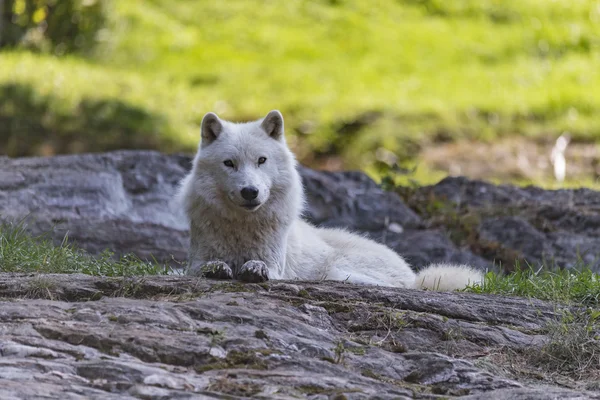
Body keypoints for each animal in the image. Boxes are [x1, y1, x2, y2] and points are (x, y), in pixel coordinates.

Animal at [175, 109, 482, 290]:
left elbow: (263, 267)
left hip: (336, 270)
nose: (250, 191)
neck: (241, 228)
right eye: (229, 163)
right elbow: (203, 267)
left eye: (261, 160)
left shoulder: (276, 263)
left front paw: (253, 269)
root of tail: (417, 279)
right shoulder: (195, 259)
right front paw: (217, 268)